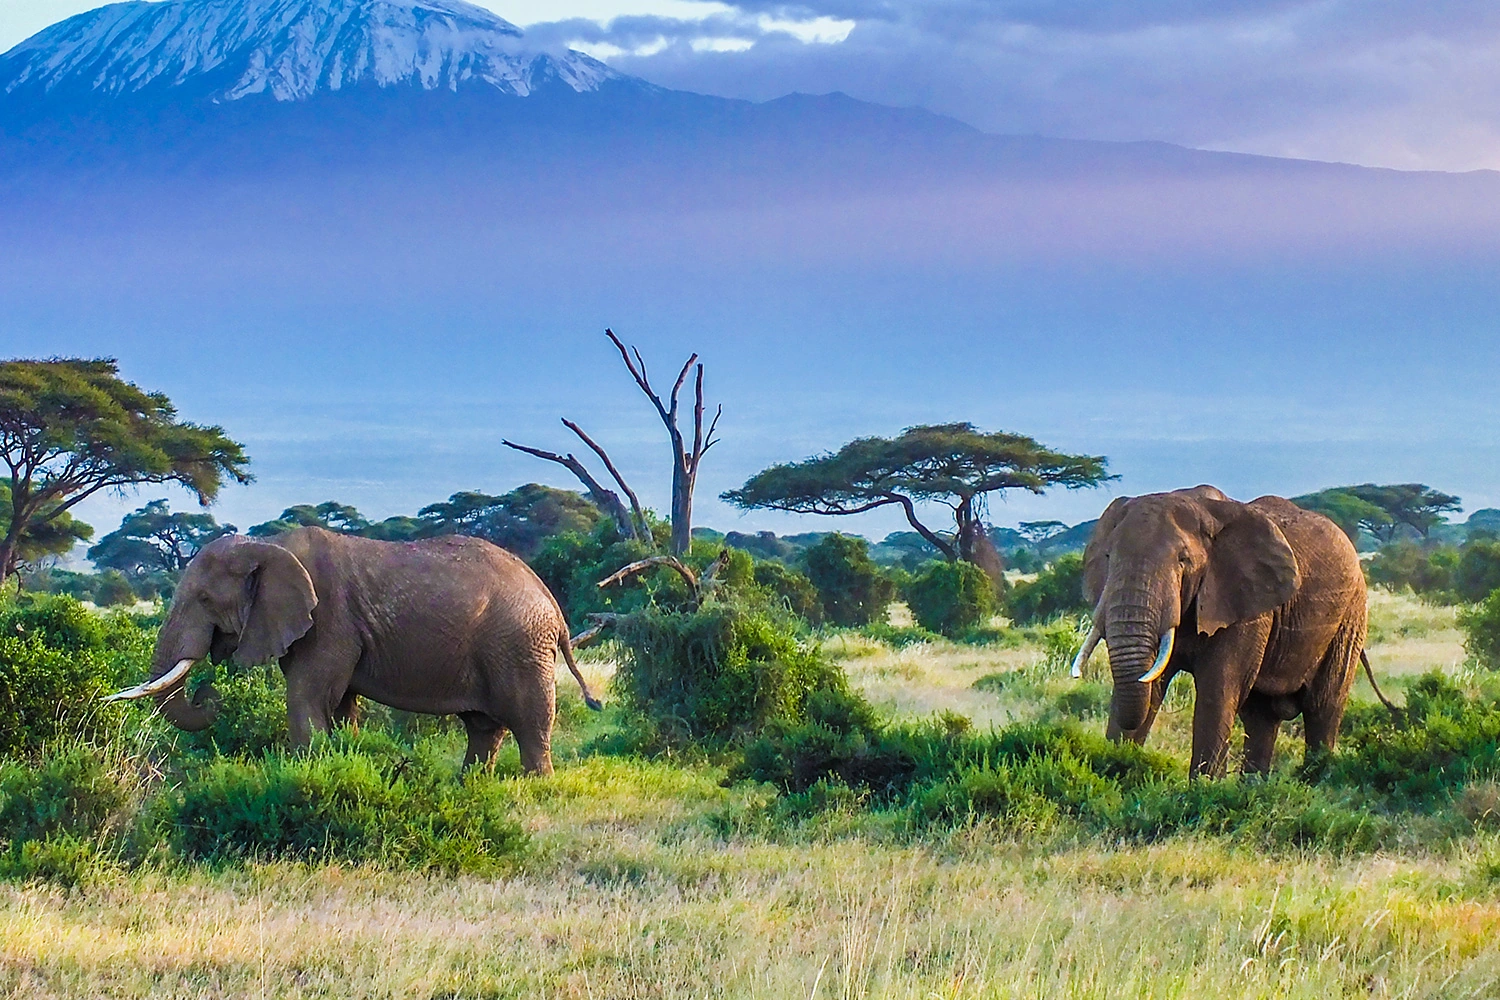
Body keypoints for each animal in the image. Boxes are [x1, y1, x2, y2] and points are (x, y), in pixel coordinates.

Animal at [104, 527, 600, 774]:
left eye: (205, 599)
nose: (210, 694)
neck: (269, 546)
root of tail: (552, 603)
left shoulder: (329, 619)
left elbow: (307, 698)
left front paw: (306, 774)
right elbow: (339, 704)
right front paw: (342, 758)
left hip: (518, 644)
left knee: (529, 722)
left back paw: (535, 786)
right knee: (483, 727)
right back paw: (471, 785)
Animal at [1073, 486, 1369, 777]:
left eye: (1183, 560)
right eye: (1108, 557)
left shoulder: (1244, 604)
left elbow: (1218, 689)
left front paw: (1203, 787)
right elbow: (1151, 684)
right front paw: (1115, 770)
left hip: (1351, 616)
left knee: (1323, 706)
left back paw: (1314, 778)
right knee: (1261, 716)